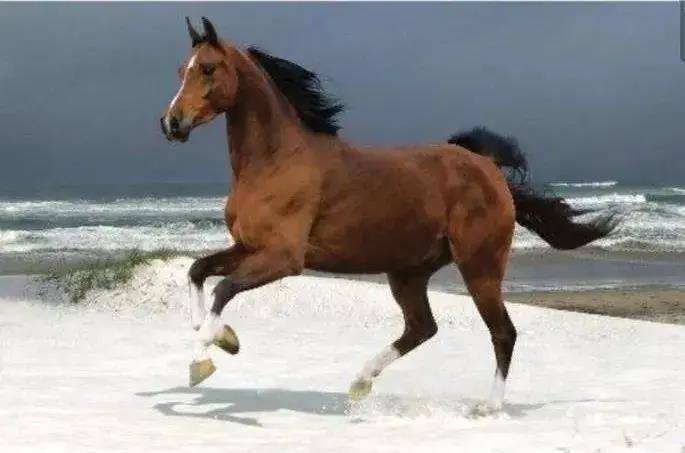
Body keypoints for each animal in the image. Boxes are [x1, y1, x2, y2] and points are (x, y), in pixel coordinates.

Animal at [160, 17, 617, 409]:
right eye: (182, 69)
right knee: (422, 327)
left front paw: (203, 359)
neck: (276, 160)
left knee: (502, 332)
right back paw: (360, 382)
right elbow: (198, 271)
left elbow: (223, 289)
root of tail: (488, 167)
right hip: (408, 272)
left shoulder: (283, 258)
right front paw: (221, 338)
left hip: (480, 267)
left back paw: (488, 408)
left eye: (208, 69)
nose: (171, 123)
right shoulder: (248, 247)